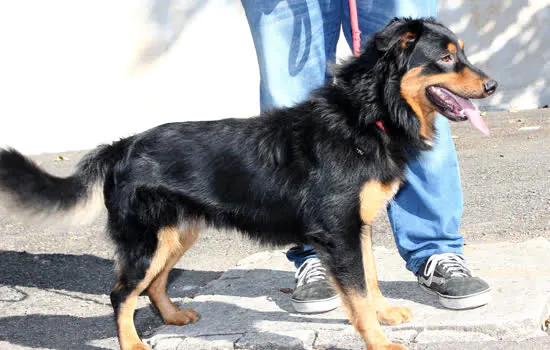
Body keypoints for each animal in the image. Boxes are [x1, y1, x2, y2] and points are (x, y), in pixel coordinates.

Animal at [0, 18, 498, 350]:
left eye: (462, 53)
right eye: (446, 57)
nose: (493, 86)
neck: (367, 114)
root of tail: (122, 145)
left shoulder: (356, 228)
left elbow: (370, 281)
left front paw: (384, 314)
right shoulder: (337, 232)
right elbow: (356, 293)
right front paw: (377, 340)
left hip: (176, 234)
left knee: (155, 284)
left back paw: (174, 317)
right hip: (145, 240)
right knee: (122, 293)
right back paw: (134, 343)